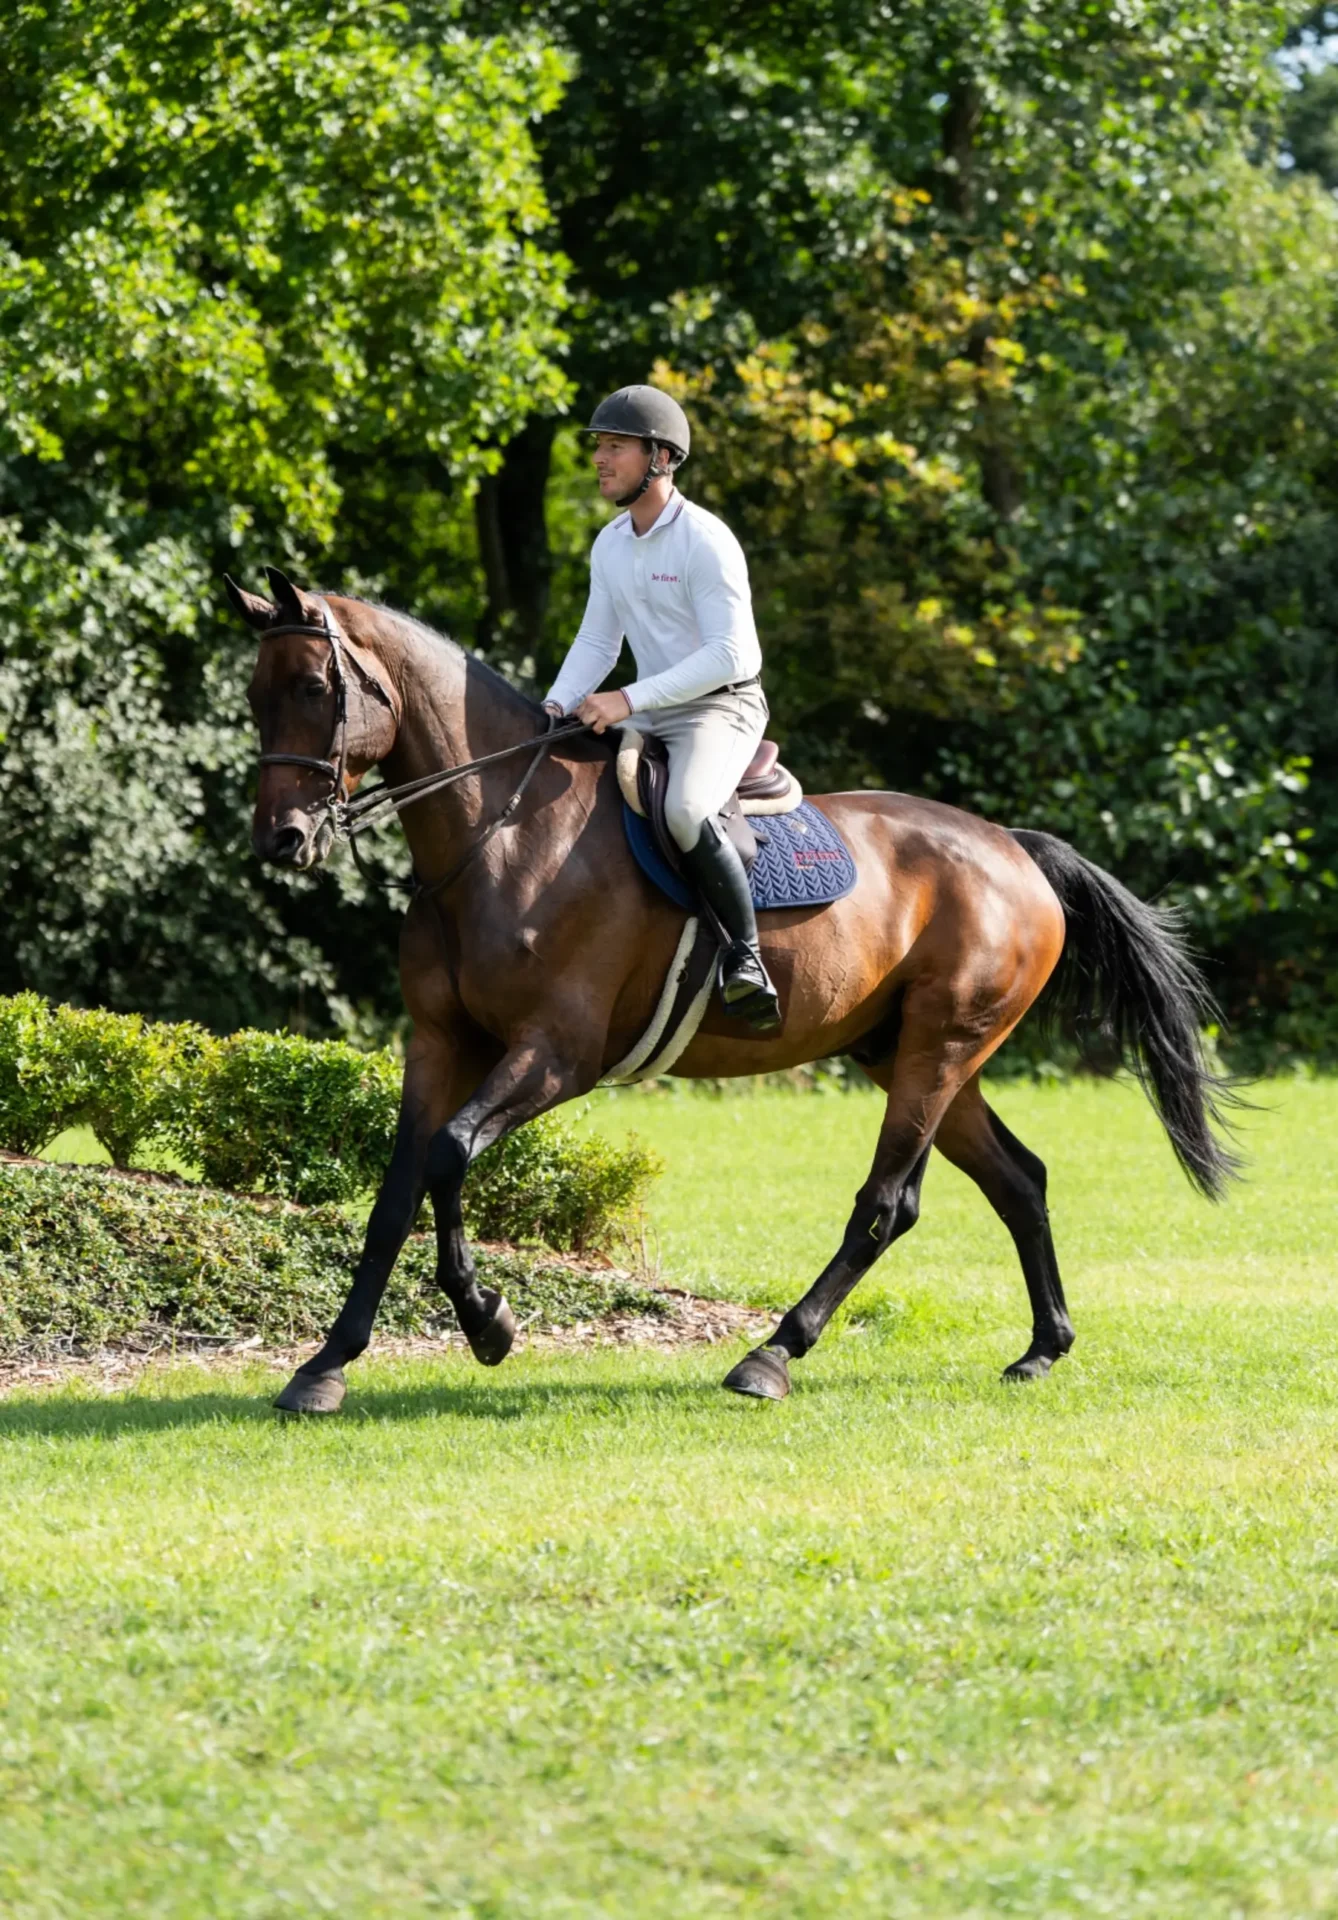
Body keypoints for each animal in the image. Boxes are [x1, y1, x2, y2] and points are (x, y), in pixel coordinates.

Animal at [228, 567, 1234, 1414]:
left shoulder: (557, 1056)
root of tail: (1014, 847)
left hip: (939, 1051)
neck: (497, 837)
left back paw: (772, 1355)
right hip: (915, 1054)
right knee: (1019, 1181)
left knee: (886, 1205)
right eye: (253, 696)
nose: (281, 839)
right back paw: (1042, 1348)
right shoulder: (441, 1044)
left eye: (313, 689)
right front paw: (326, 1365)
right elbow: (399, 1190)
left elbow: (447, 1154)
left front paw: (489, 1323)